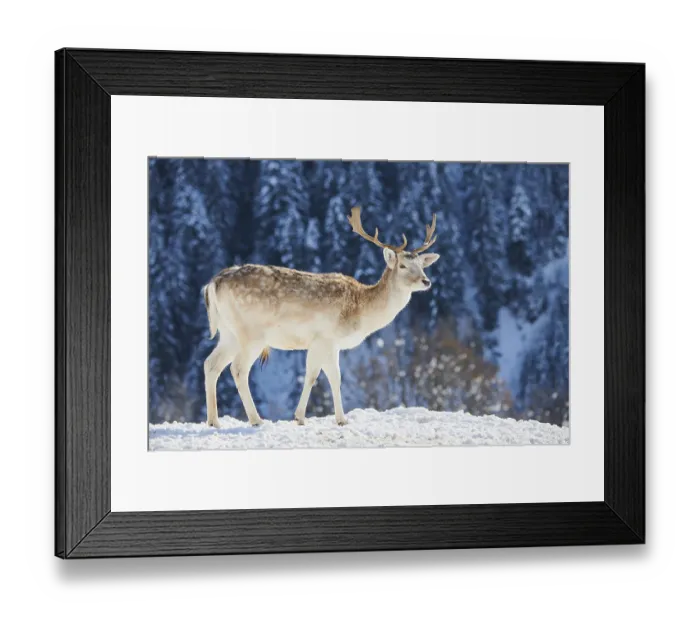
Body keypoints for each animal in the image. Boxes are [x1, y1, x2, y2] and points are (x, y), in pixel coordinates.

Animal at [202, 206, 439, 428]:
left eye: (422, 265)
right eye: (403, 265)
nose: (426, 281)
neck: (361, 311)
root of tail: (212, 284)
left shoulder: (329, 343)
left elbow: (330, 377)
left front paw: (335, 419)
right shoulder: (323, 338)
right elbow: (317, 376)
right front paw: (306, 417)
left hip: (229, 332)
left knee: (210, 364)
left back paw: (214, 421)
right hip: (252, 333)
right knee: (238, 369)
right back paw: (256, 420)